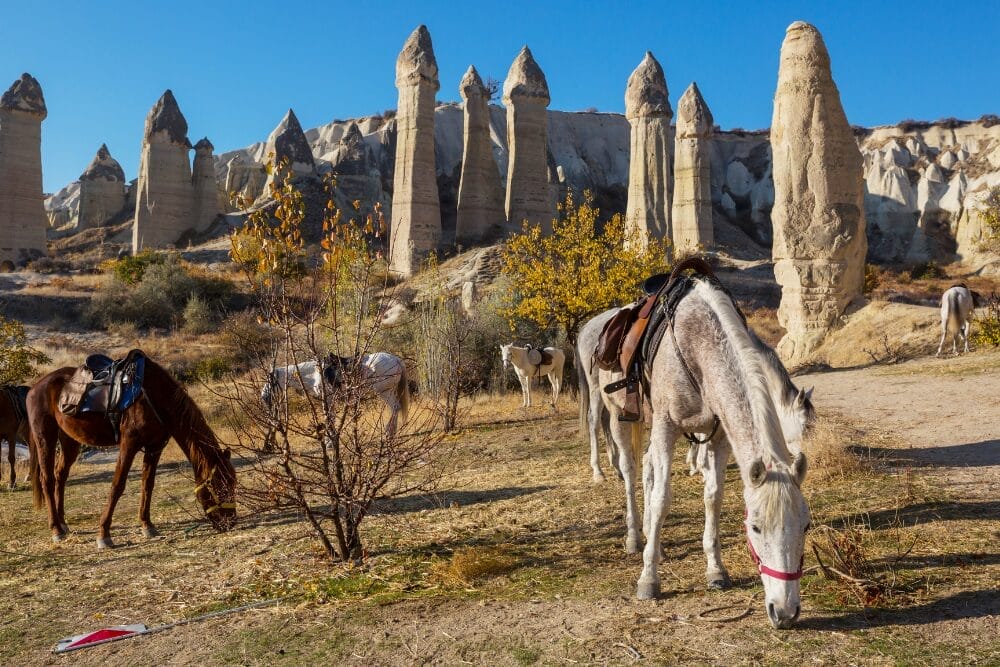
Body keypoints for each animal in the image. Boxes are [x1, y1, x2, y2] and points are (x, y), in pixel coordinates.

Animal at [26, 356, 237, 548]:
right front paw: (104, 534)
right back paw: (56, 529)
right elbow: (117, 485)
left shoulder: (155, 447)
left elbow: (147, 484)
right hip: (45, 437)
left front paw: (147, 525)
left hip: (70, 440)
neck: (154, 397)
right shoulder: (129, 444)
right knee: (47, 479)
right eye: (221, 486)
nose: (230, 522)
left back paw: (62, 523)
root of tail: (34, 388)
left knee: (60, 475)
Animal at [261, 352, 410, 437]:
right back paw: (392, 433)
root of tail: (396, 359)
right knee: (396, 408)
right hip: (389, 391)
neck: (314, 375)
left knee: (395, 407)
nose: (263, 397)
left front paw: (330, 441)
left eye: (270, 380)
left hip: (384, 391)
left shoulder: (328, 400)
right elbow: (330, 419)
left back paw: (388, 433)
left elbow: (330, 419)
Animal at [598, 277, 810, 629]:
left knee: (648, 467)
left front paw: (715, 570)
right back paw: (635, 537)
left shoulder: (719, 435)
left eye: (806, 526)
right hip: (623, 418)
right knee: (631, 471)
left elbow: (713, 497)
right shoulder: (666, 427)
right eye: (755, 527)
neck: (697, 345)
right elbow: (662, 498)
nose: (785, 612)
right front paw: (649, 579)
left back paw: (650, 535)